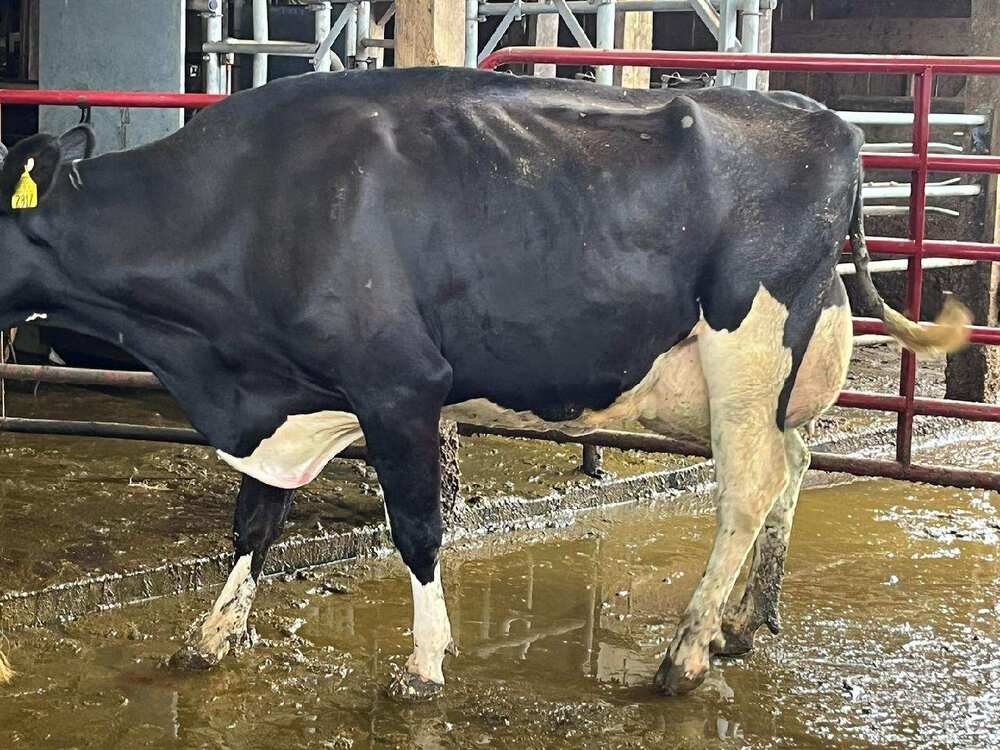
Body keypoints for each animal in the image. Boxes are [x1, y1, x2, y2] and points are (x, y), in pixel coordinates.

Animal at [0, 67, 969, 697]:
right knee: (793, 462)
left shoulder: (397, 384)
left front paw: (424, 665)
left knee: (749, 486)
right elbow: (254, 521)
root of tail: (827, 118)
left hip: (748, 346)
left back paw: (686, 653)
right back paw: (745, 621)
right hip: (746, 377)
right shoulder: (287, 390)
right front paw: (211, 636)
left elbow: (418, 530)